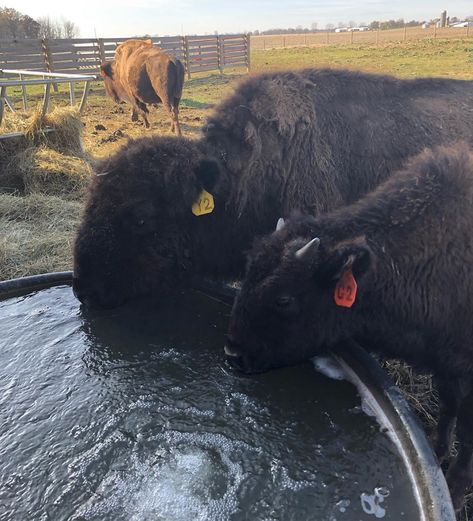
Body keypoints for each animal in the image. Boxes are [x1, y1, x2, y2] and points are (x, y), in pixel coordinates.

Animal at [225, 142, 472, 512]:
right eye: (248, 271)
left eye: (284, 299)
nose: (233, 352)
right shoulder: (447, 364)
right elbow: (448, 406)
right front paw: (438, 451)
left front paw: (454, 493)